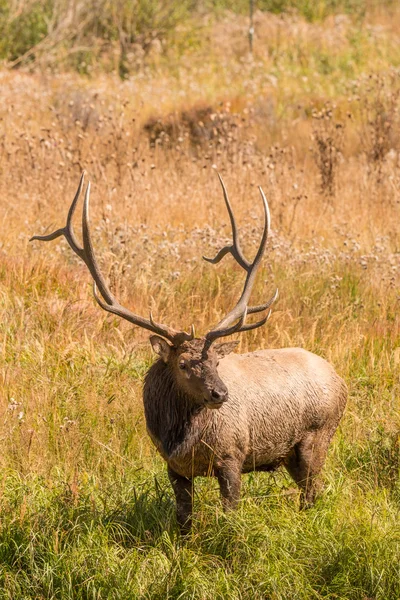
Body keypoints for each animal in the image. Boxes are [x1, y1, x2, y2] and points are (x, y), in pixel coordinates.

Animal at [31, 173, 346, 536]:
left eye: (216, 361)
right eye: (183, 363)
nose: (220, 393)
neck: (181, 440)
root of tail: (340, 378)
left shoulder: (232, 456)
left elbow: (230, 514)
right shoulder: (174, 467)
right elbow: (183, 520)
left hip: (317, 436)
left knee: (312, 491)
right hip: (291, 453)